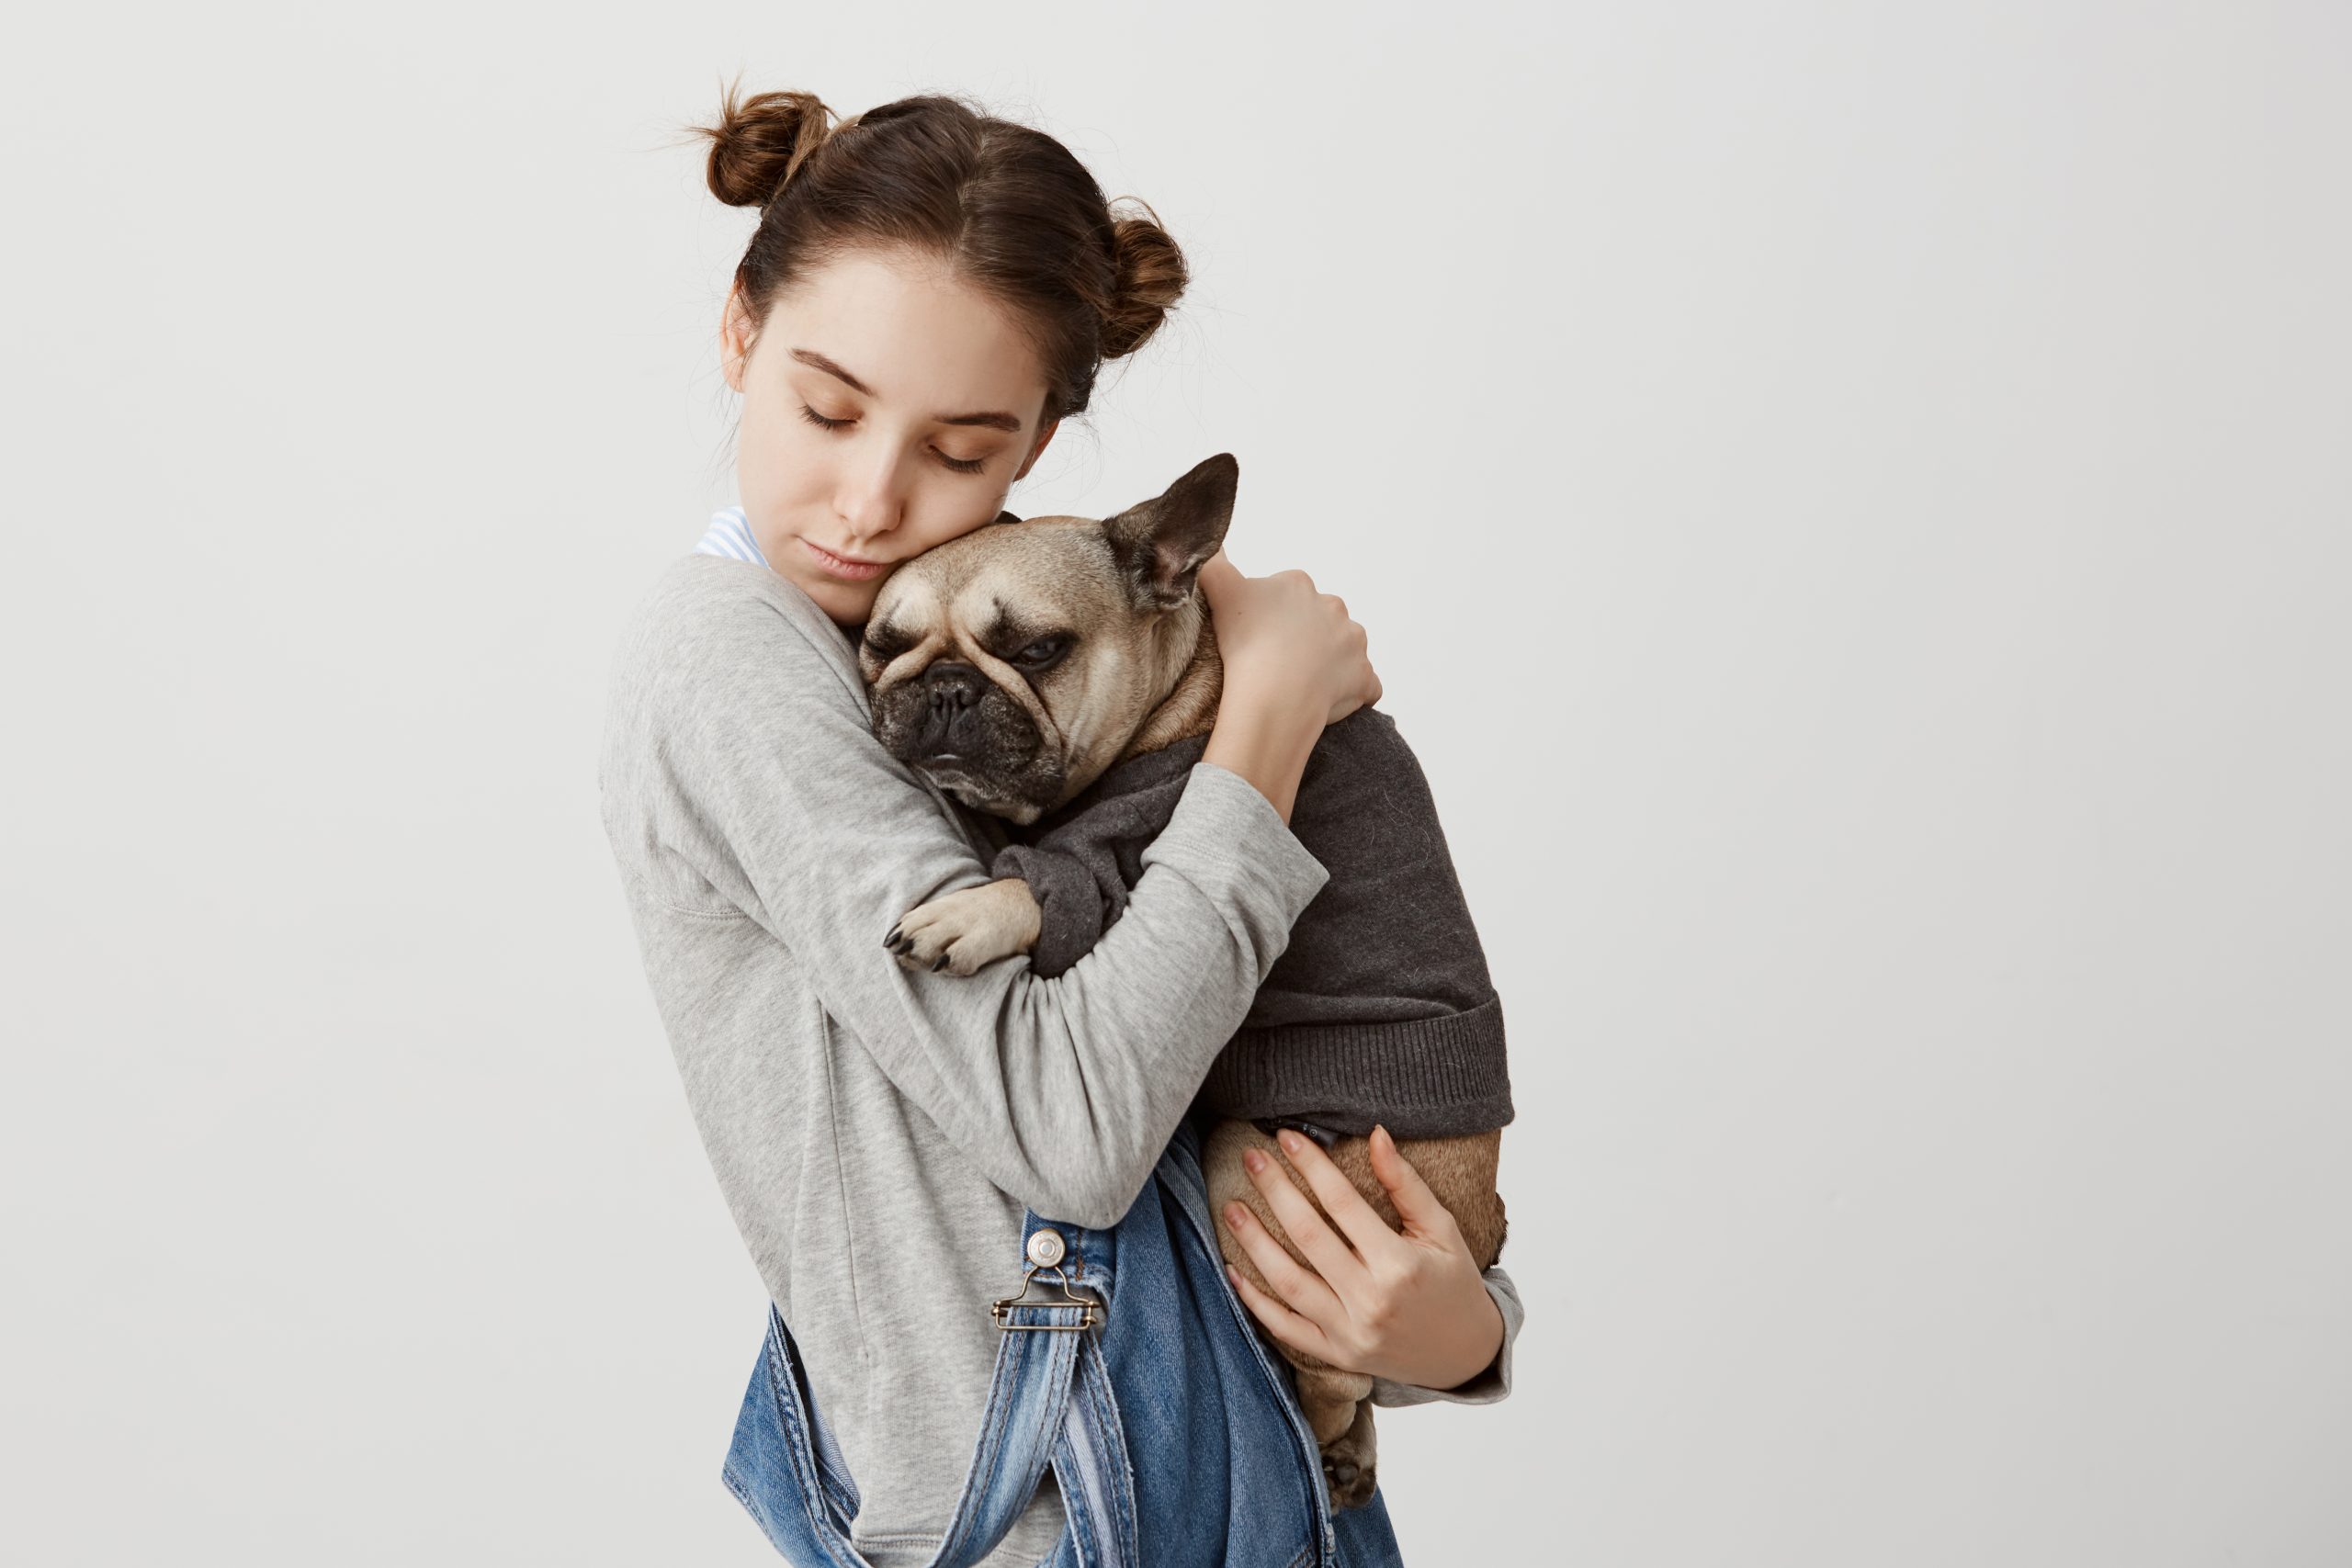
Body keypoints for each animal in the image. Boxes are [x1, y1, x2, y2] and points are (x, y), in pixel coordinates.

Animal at [860, 453, 1505, 1504]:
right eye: (882, 646)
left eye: (1037, 648)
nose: (945, 689)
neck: (1182, 698)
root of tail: (1481, 1230)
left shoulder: (1132, 871)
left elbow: (1047, 887)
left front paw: (971, 911)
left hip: (1254, 1167)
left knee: (1335, 1373)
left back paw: (1331, 1438)